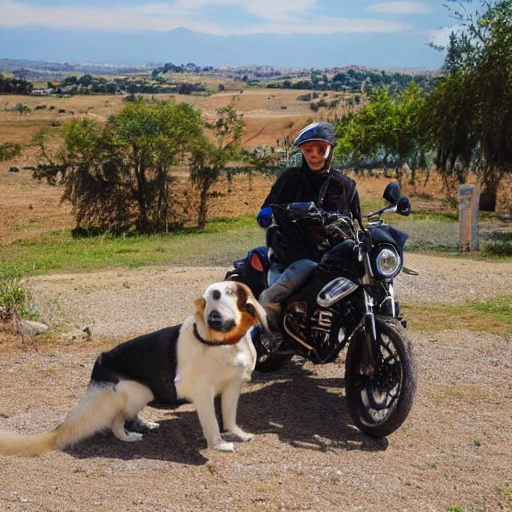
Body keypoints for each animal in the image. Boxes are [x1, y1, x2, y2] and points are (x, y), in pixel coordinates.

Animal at [0, 282, 266, 454]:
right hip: (140, 391)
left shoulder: (232, 387)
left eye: (227, 294)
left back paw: (143, 424)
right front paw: (218, 445)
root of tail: (100, 363)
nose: (214, 320)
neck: (225, 343)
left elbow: (229, 418)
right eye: (207, 301)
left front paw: (237, 434)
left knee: (127, 416)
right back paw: (128, 436)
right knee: (116, 421)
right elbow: (211, 424)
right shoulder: (203, 393)